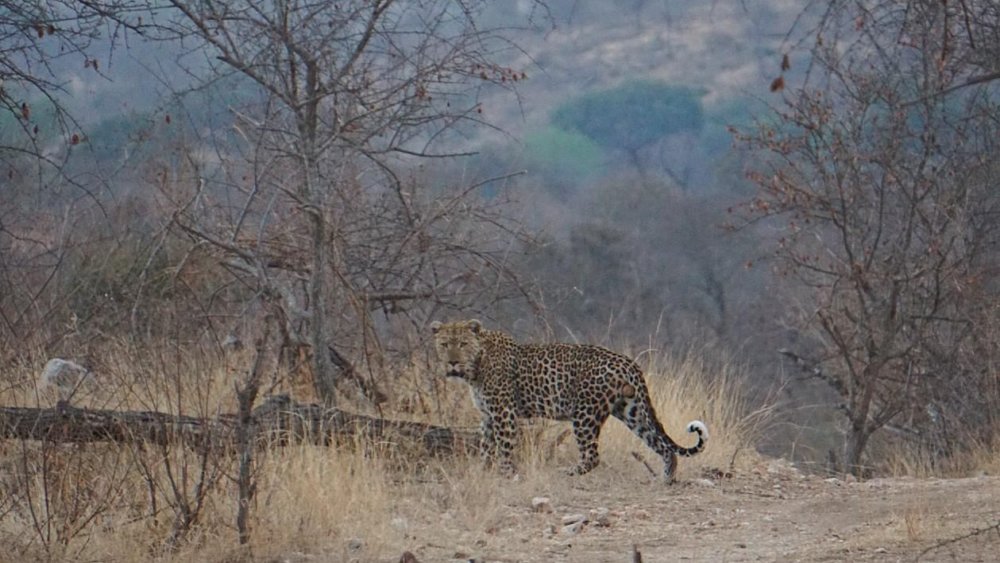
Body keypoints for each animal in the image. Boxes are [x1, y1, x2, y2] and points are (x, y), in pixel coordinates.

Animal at [430, 319, 708, 481]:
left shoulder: (503, 413)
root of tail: (628, 362)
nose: (453, 362)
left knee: (593, 455)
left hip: (585, 414)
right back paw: (666, 479)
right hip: (631, 411)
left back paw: (569, 472)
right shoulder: (488, 416)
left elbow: (505, 447)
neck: (475, 368)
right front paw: (482, 472)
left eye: (462, 344)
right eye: (444, 344)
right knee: (663, 446)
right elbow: (486, 447)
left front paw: (505, 475)